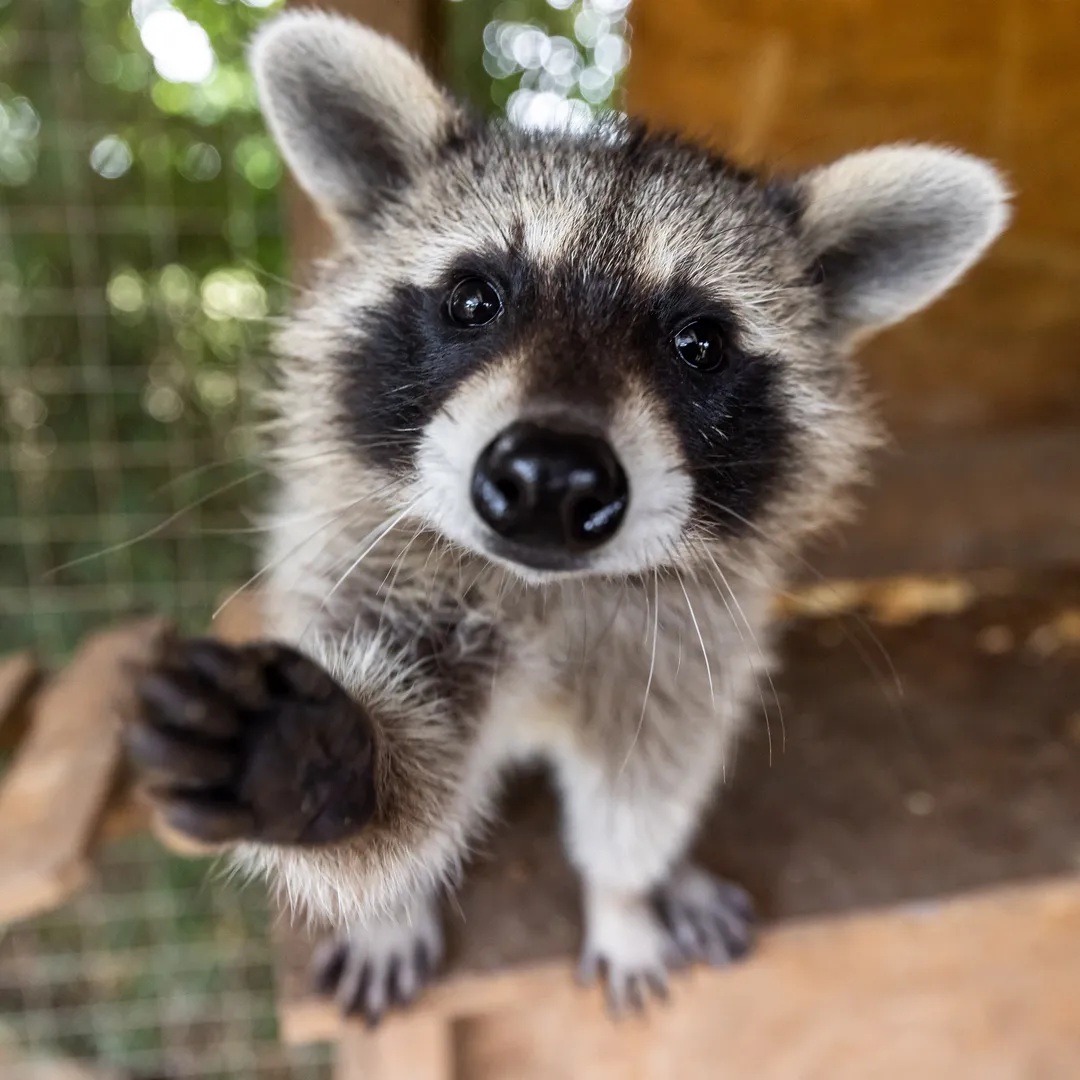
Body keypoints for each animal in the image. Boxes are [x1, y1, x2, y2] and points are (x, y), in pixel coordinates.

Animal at [125, 11, 1009, 1022]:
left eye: (699, 342)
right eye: (473, 298)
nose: (552, 480)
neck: (541, 587)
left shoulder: (682, 644)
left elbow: (646, 785)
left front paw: (625, 899)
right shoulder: (362, 561)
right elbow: (413, 771)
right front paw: (328, 777)